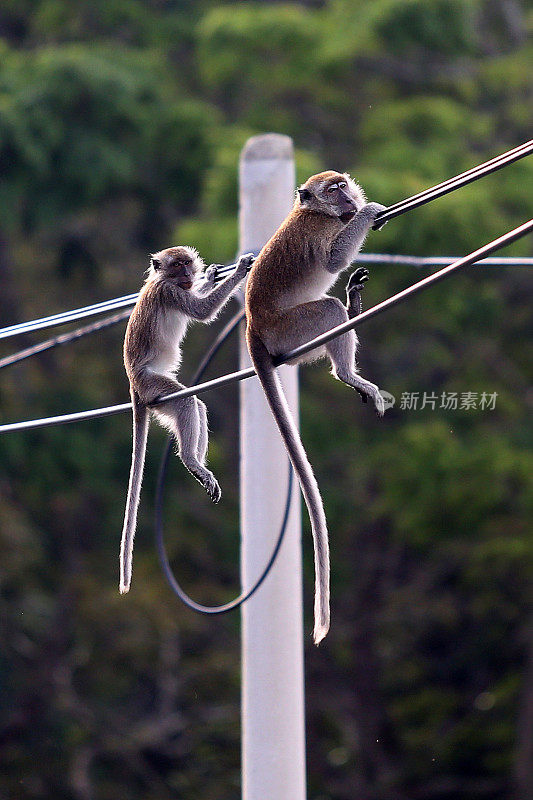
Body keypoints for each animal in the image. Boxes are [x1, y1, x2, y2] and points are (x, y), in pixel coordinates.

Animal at [120, 247, 254, 596]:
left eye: (187, 264)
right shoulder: (170, 293)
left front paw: (211, 276)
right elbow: (202, 311)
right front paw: (240, 270)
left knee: (197, 406)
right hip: (153, 385)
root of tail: (134, 385)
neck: (163, 280)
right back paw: (192, 460)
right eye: (177, 264)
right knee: (185, 402)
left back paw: (199, 466)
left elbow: (200, 301)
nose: (188, 274)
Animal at [245, 173, 386, 644]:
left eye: (343, 185)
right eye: (332, 191)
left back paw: (354, 306)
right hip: (291, 331)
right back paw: (348, 373)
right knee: (326, 309)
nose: (347, 200)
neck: (312, 211)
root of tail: (253, 326)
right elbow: (333, 258)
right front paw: (369, 213)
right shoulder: (320, 231)